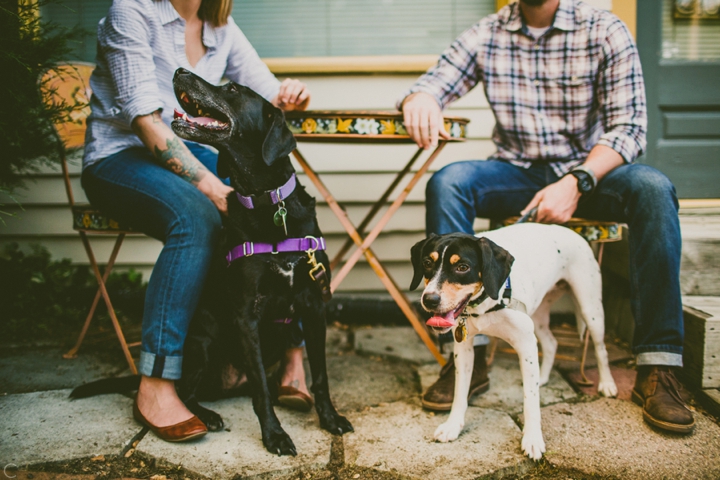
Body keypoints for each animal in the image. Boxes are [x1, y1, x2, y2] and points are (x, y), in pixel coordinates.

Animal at [410, 223, 620, 460]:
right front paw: (453, 426)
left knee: (601, 349)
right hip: (538, 316)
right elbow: (460, 393)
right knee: (551, 343)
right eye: (427, 263)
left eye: (463, 267)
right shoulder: (463, 348)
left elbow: (530, 400)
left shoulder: (525, 345)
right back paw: (543, 377)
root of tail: (572, 231)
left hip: (590, 310)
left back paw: (607, 384)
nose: (429, 300)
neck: (488, 301)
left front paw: (532, 439)